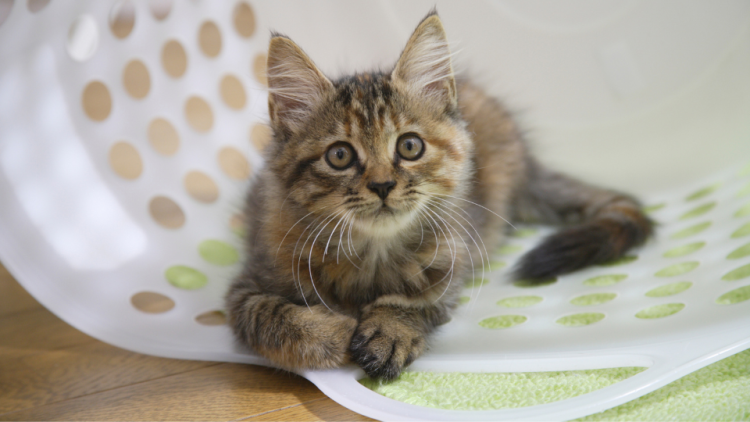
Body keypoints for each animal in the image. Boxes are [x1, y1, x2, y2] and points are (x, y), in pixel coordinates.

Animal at [228, 10, 652, 380]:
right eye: (339, 155)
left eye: (410, 147)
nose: (382, 185)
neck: (374, 253)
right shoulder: (249, 281)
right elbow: (270, 317)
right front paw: (333, 333)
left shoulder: (452, 264)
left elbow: (416, 302)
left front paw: (390, 330)